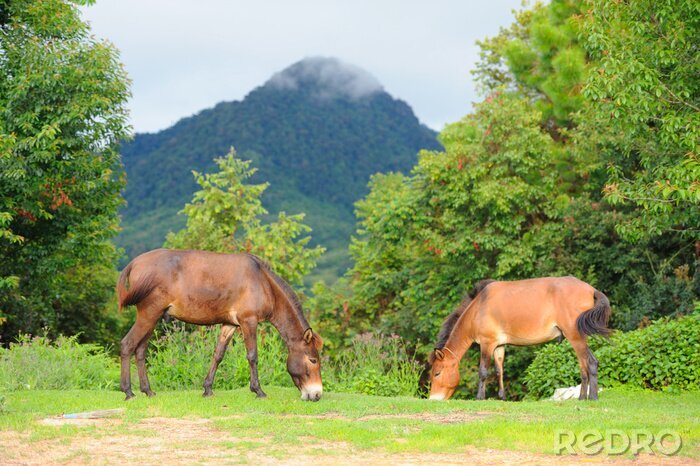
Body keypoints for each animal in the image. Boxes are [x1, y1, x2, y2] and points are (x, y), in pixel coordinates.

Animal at [116, 248, 324, 402]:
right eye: (313, 360)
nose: (317, 394)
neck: (263, 283)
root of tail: (135, 262)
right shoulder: (248, 322)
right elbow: (252, 356)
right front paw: (258, 390)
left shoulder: (229, 325)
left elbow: (218, 355)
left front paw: (208, 389)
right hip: (149, 315)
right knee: (127, 345)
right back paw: (128, 391)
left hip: (153, 317)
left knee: (140, 351)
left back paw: (147, 390)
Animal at [429, 277, 610, 401]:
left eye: (437, 373)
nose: (433, 399)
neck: (478, 307)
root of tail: (591, 290)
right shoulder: (499, 345)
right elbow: (499, 371)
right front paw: (501, 397)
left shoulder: (487, 344)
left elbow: (483, 371)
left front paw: (480, 397)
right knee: (584, 367)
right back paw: (582, 398)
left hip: (575, 337)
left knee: (591, 362)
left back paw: (592, 398)